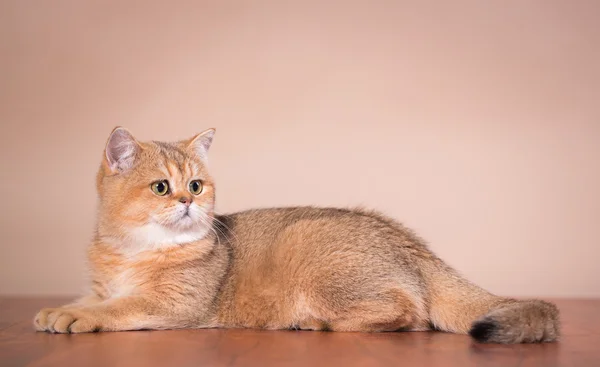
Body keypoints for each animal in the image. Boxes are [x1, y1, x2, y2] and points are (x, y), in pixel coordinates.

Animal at [32, 128, 560, 344]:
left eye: (196, 185)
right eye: (162, 187)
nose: (187, 202)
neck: (134, 249)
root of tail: (409, 242)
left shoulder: (173, 304)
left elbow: (116, 309)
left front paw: (73, 317)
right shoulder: (103, 286)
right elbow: (94, 298)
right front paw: (58, 309)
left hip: (309, 248)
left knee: (411, 316)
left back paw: (316, 323)